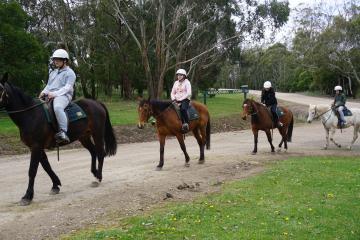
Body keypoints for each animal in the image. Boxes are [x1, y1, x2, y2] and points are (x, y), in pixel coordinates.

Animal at [0, 72, 116, 204]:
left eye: (0, 89)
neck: (30, 115)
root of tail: (97, 103)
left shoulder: (36, 146)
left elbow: (32, 170)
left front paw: (27, 196)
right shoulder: (36, 147)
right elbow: (46, 166)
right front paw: (55, 185)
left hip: (97, 134)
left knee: (100, 153)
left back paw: (98, 178)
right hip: (84, 137)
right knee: (93, 152)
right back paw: (95, 173)